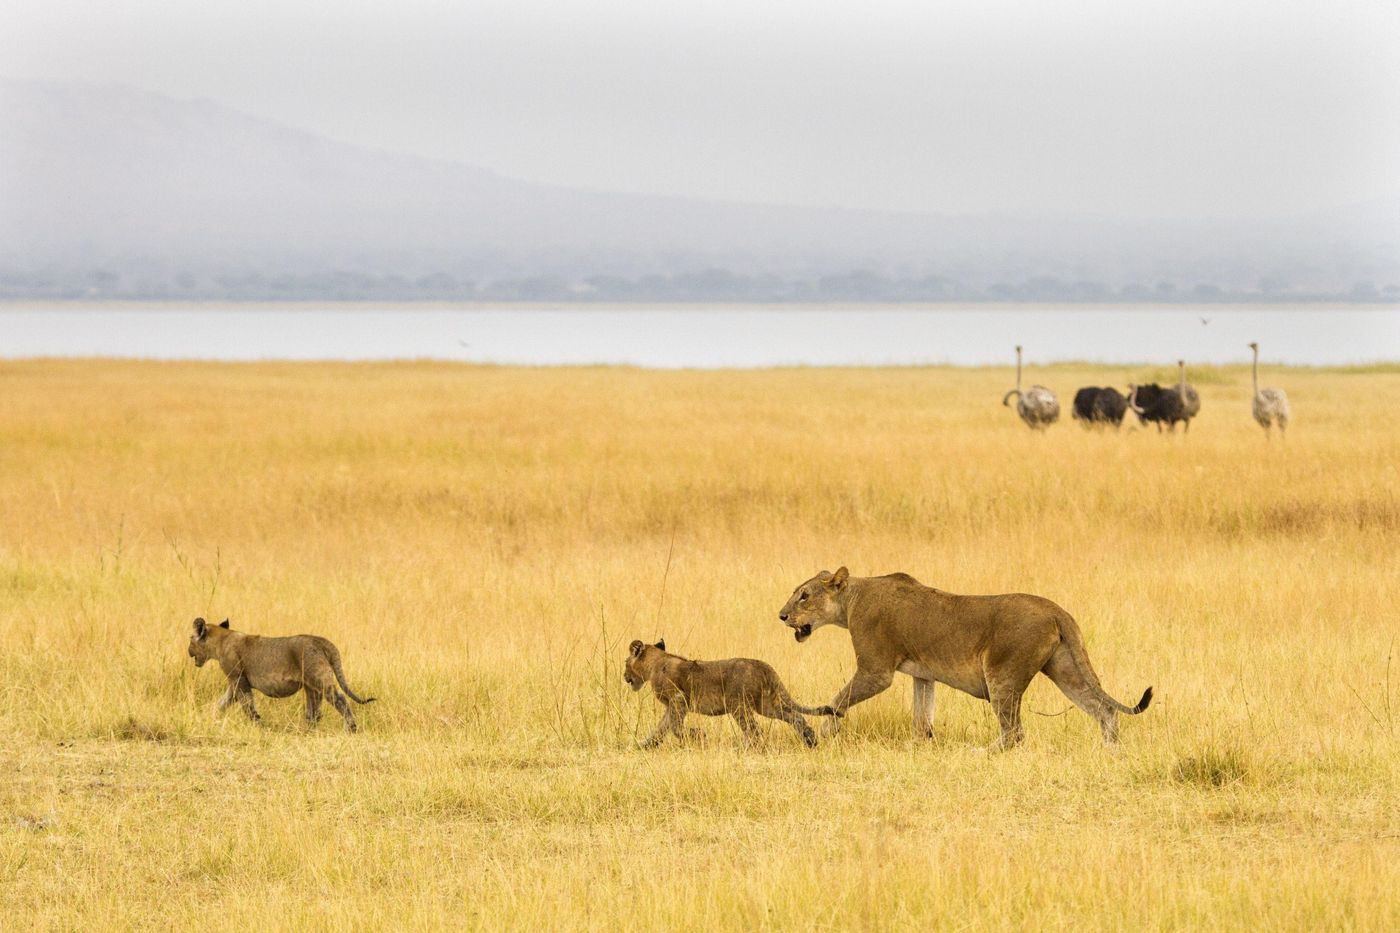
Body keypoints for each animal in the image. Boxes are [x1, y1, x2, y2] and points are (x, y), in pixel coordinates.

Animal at [187, 617, 376, 732]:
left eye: (190, 638)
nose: (188, 651)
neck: (221, 640)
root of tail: (322, 641)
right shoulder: (234, 683)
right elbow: (223, 702)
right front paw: (211, 717)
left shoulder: (239, 679)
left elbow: (248, 704)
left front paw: (258, 724)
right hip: (310, 685)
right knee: (314, 710)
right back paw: (306, 729)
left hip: (319, 678)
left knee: (340, 700)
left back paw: (351, 728)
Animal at [624, 639, 838, 748]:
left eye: (626, 663)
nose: (624, 676)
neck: (655, 664)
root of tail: (762, 665)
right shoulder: (673, 705)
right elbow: (661, 728)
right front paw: (644, 745)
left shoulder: (678, 700)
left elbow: (675, 727)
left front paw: (698, 736)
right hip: (766, 704)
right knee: (795, 716)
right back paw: (811, 740)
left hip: (739, 705)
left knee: (754, 729)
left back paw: (744, 749)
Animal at [778, 568, 1151, 748]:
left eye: (804, 596)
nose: (781, 616)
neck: (851, 600)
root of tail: (1057, 610)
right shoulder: (923, 673)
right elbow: (922, 717)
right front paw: (920, 747)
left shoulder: (876, 671)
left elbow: (838, 699)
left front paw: (826, 730)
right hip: (1065, 668)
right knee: (1104, 710)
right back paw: (1110, 752)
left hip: (1002, 674)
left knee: (1014, 733)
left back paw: (980, 753)